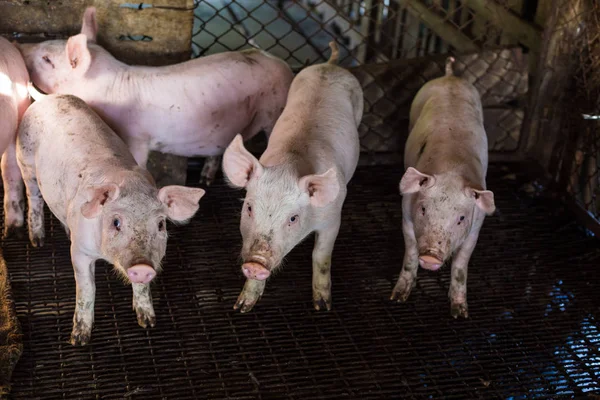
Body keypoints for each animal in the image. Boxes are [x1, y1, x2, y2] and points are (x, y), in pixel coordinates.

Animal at [16, 94, 205, 344]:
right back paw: (37, 241)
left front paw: (148, 323)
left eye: (160, 224)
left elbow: (142, 288)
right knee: (34, 196)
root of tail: (47, 98)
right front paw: (78, 339)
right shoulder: (80, 252)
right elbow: (87, 289)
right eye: (116, 222)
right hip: (25, 161)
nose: (142, 266)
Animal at [20, 6, 296, 187]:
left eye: (47, 60)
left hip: (275, 109)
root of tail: (282, 64)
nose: (20, 47)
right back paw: (205, 181)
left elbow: (138, 161)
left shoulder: (137, 137)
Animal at [220, 43, 360, 312]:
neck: (290, 165)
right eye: (249, 208)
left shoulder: (332, 218)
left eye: (293, 218)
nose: (256, 262)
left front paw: (322, 306)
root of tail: (331, 64)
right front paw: (241, 307)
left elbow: (321, 256)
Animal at [390, 57, 496, 318]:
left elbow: (460, 265)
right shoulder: (406, 214)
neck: (451, 170)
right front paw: (397, 298)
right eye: (423, 209)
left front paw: (460, 313)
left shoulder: (475, 227)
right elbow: (410, 255)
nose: (430, 256)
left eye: (460, 218)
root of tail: (450, 76)